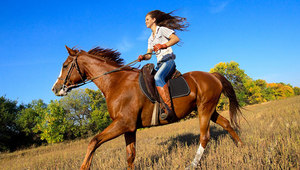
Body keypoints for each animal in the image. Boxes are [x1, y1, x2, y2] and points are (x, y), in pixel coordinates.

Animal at [51, 45, 243, 169]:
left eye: (65, 65)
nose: (55, 89)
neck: (116, 83)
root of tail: (213, 75)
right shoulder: (129, 128)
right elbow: (130, 156)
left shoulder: (123, 124)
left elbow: (93, 142)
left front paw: (85, 166)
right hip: (208, 109)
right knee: (226, 124)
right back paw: (241, 146)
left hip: (204, 109)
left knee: (205, 137)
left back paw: (193, 164)